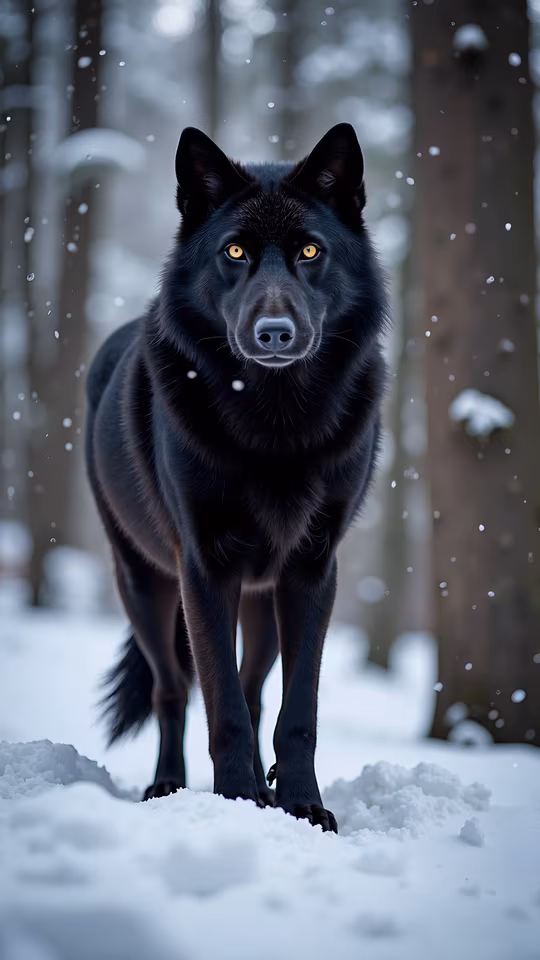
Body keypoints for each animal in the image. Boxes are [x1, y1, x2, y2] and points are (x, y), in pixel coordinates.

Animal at [85, 123, 387, 832]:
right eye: (235, 251)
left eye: (310, 250)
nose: (274, 333)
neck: (273, 421)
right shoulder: (204, 566)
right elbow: (217, 705)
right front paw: (235, 801)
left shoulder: (312, 568)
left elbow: (296, 711)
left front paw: (302, 805)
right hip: (143, 584)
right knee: (173, 691)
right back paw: (167, 786)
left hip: (261, 599)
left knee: (253, 691)